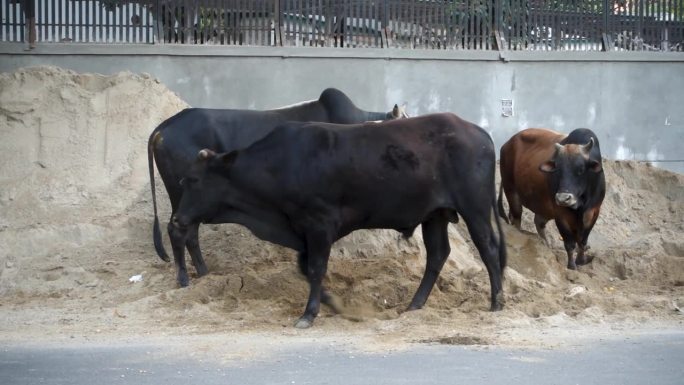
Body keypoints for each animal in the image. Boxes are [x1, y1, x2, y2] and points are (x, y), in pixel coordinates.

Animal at [148, 88, 406, 284]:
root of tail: (163, 128)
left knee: (190, 233)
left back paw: (204, 273)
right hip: (183, 194)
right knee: (178, 230)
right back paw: (184, 279)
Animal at [170, 113, 504, 328]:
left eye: (193, 180)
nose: (177, 220)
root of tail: (479, 133)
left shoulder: (319, 225)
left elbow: (316, 268)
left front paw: (309, 314)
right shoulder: (303, 231)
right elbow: (305, 268)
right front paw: (332, 303)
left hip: (474, 209)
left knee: (488, 249)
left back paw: (497, 302)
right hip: (434, 215)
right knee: (437, 255)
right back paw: (414, 305)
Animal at [496, 127, 604, 268]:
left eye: (581, 169)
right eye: (558, 169)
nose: (563, 198)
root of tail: (507, 144)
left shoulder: (594, 211)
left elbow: (582, 240)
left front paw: (582, 260)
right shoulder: (560, 214)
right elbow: (569, 243)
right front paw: (571, 266)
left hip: (544, 208)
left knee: (538, 222)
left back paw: (546, 244)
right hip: (511, 191)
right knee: (516, 220)